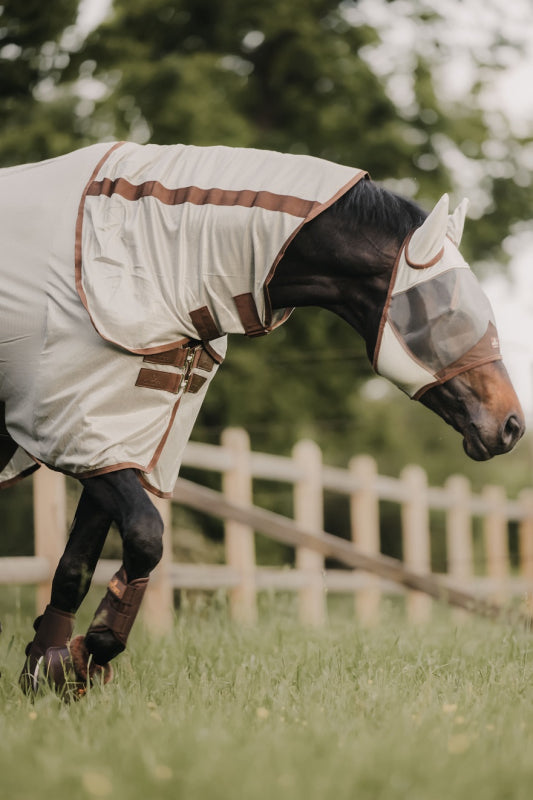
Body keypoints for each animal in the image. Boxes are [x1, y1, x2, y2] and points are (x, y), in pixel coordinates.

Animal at [0, 141, 524, 696]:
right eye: (446, 311)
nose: (511, 424)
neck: (139, 261)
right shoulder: (70, 428)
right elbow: (145, 536)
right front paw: (85, 654)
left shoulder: (115, 441)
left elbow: (75, 566)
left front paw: (49, 670)